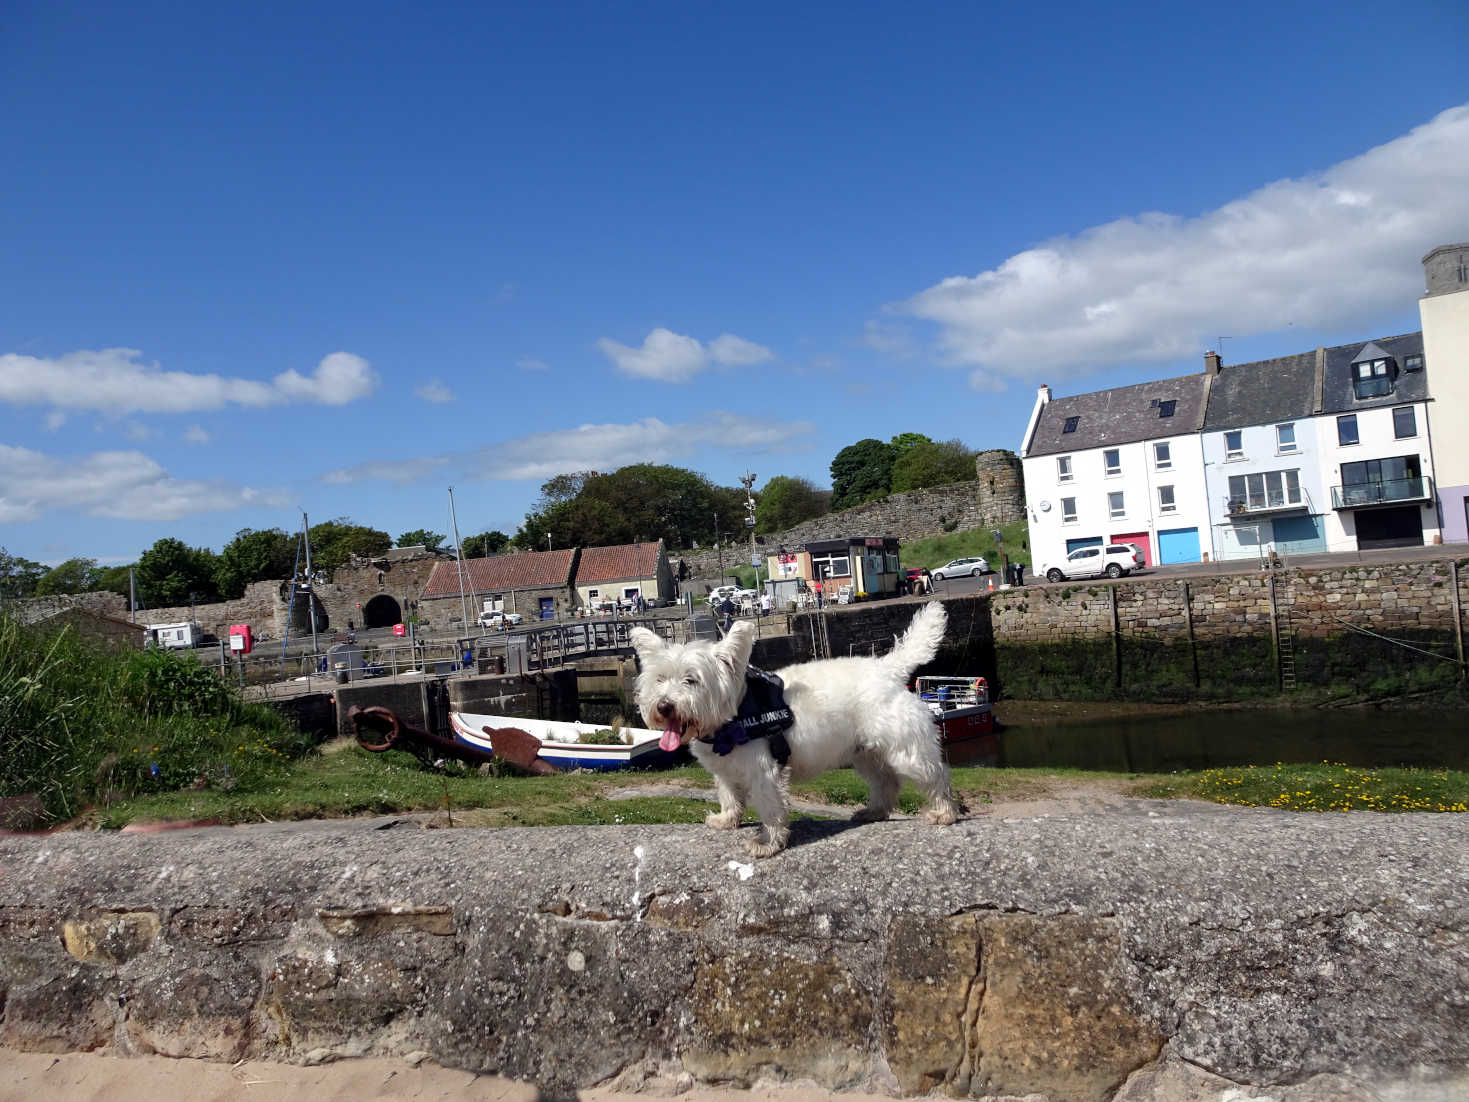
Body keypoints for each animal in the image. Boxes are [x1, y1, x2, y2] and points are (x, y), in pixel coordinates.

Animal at [625, 599, 957, 858]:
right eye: (659, 679)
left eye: (691, 679)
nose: (664, 706)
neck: (731, 719)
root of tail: (887, 668)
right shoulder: (725, 771)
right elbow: (730, 797)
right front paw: (726, 819)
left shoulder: (764, 772)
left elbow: (770, 808)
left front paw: (767, 842)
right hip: (865, 753)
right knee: (886, 782)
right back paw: (873, 811)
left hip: (905, 749)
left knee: (935, 774)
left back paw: (944, 812)